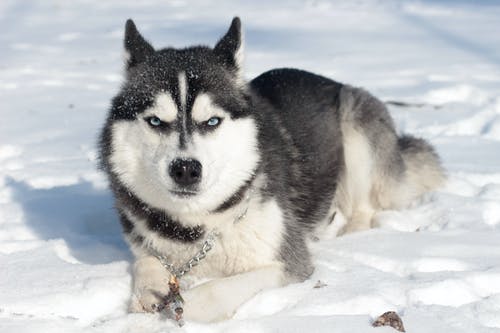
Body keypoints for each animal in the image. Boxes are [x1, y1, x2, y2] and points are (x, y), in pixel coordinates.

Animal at [99, 16, 444, 320]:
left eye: (212, 121)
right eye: (156, 121)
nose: (185, 169)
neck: (195, 229)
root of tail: (331, 81)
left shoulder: (289, 265)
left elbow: (220, 288)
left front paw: (191, 304)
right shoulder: (147, 246)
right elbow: (145, 262)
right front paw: (149, 289)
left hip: (355, 124)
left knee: (364, 208)